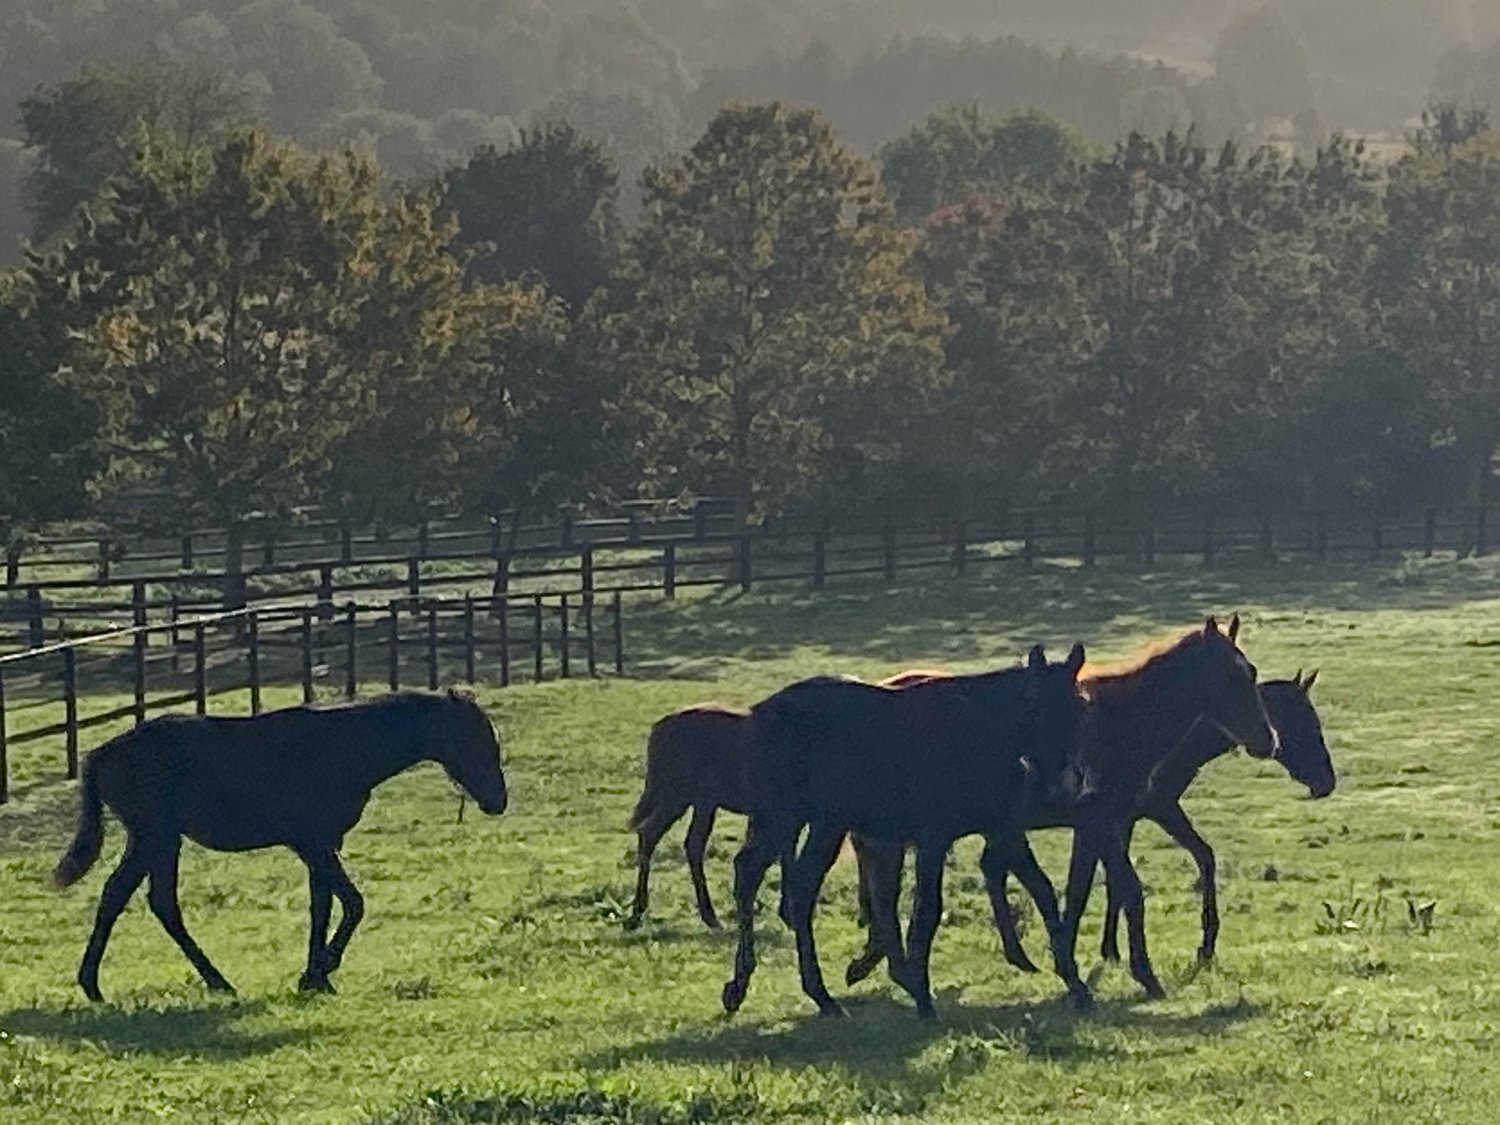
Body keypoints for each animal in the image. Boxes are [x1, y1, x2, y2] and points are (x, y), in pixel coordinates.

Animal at [53, 689, 509, 1002]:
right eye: (473, 739)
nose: (497, 801)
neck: (344, 748)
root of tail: (99, 755)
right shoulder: (313, 843)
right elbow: (353, 903)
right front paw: (322, 968)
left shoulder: (320, 845)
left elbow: (322, 906)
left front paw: (316, 976)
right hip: (157, 837)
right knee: (154, 901)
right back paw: (213, 982)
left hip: (153, 840)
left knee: (124, 896)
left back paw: (97, 985)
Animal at [624, 670, 951, 931]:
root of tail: (659, 728)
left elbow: (787, 853)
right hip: (677, 796)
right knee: (651, 835)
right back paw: (640, 912)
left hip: (701, 803)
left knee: (687, 844)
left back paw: (705, 915)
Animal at [721, 644, 1092, 1020]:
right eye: (1034, 704)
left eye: (1080, 706)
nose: (1061, 784)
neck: (977, 732)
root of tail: (758, 713)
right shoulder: (933, 839)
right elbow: (927, 910)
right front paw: (921, 993)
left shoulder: (1003, 831)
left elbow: (1043, 892)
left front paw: (1075, 983)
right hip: (785, 817)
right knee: (756, 878)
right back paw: (751, 985)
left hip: (822, 825)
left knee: (794, 888)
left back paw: (814, 995)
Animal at [843, 616, 1279, 1002]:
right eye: (1230, 677)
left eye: (1251, 672)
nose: (1267, 740)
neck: (1125, 721)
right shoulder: (1101, 822)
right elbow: (1126, 891)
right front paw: (1142, 974)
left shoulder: (1101, 825)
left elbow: (1079, 890)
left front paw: (1071, 958)